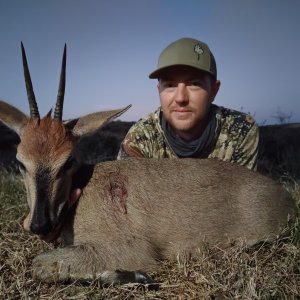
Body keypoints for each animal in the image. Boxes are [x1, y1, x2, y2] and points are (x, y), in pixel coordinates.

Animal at [0, 43, 296, 284]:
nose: (40, 225)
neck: (83, 188)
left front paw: (132, 276)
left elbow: (38, 265)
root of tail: (287, 199)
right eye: (21, 162)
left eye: (68, 160)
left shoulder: (132, 250)